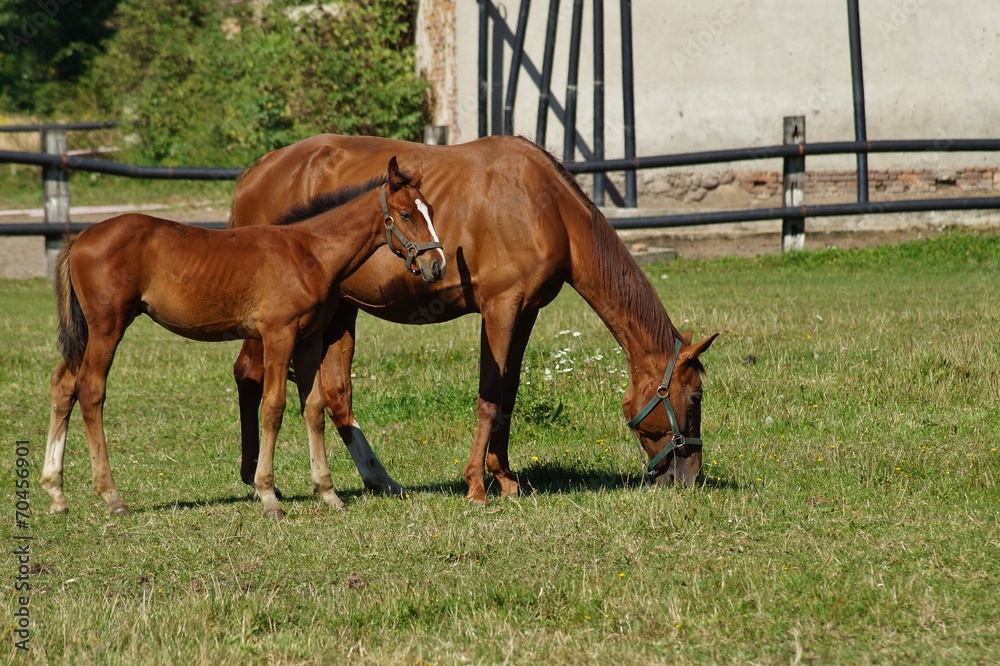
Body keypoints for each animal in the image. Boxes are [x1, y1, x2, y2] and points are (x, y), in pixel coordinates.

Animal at [40, 158, 445, 520]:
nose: (437, 265)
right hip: (108, 326)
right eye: (406, 215)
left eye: (431, 211)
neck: (309, 253)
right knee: (91, 389)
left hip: (89, 331)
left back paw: (56, 493)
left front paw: (327, 493)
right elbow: (274, 407)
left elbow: (313, 408)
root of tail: (79, 238)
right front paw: (268, 496)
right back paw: (111, 495)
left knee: (64, 384)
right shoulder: (279, 335)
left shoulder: (309, 340)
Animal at [230, 134, 717, 504]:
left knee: (334, 395)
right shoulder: (501, 307)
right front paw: (477, 485)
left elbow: (509, 393)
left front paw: (504, 478)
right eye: (694, 398)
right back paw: (257, 480)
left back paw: (380, 479)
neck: (545, 206)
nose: (690, 477)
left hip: (337, 311)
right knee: (251, 374)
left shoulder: (526, 312)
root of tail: (253, 173)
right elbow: (490, 395)